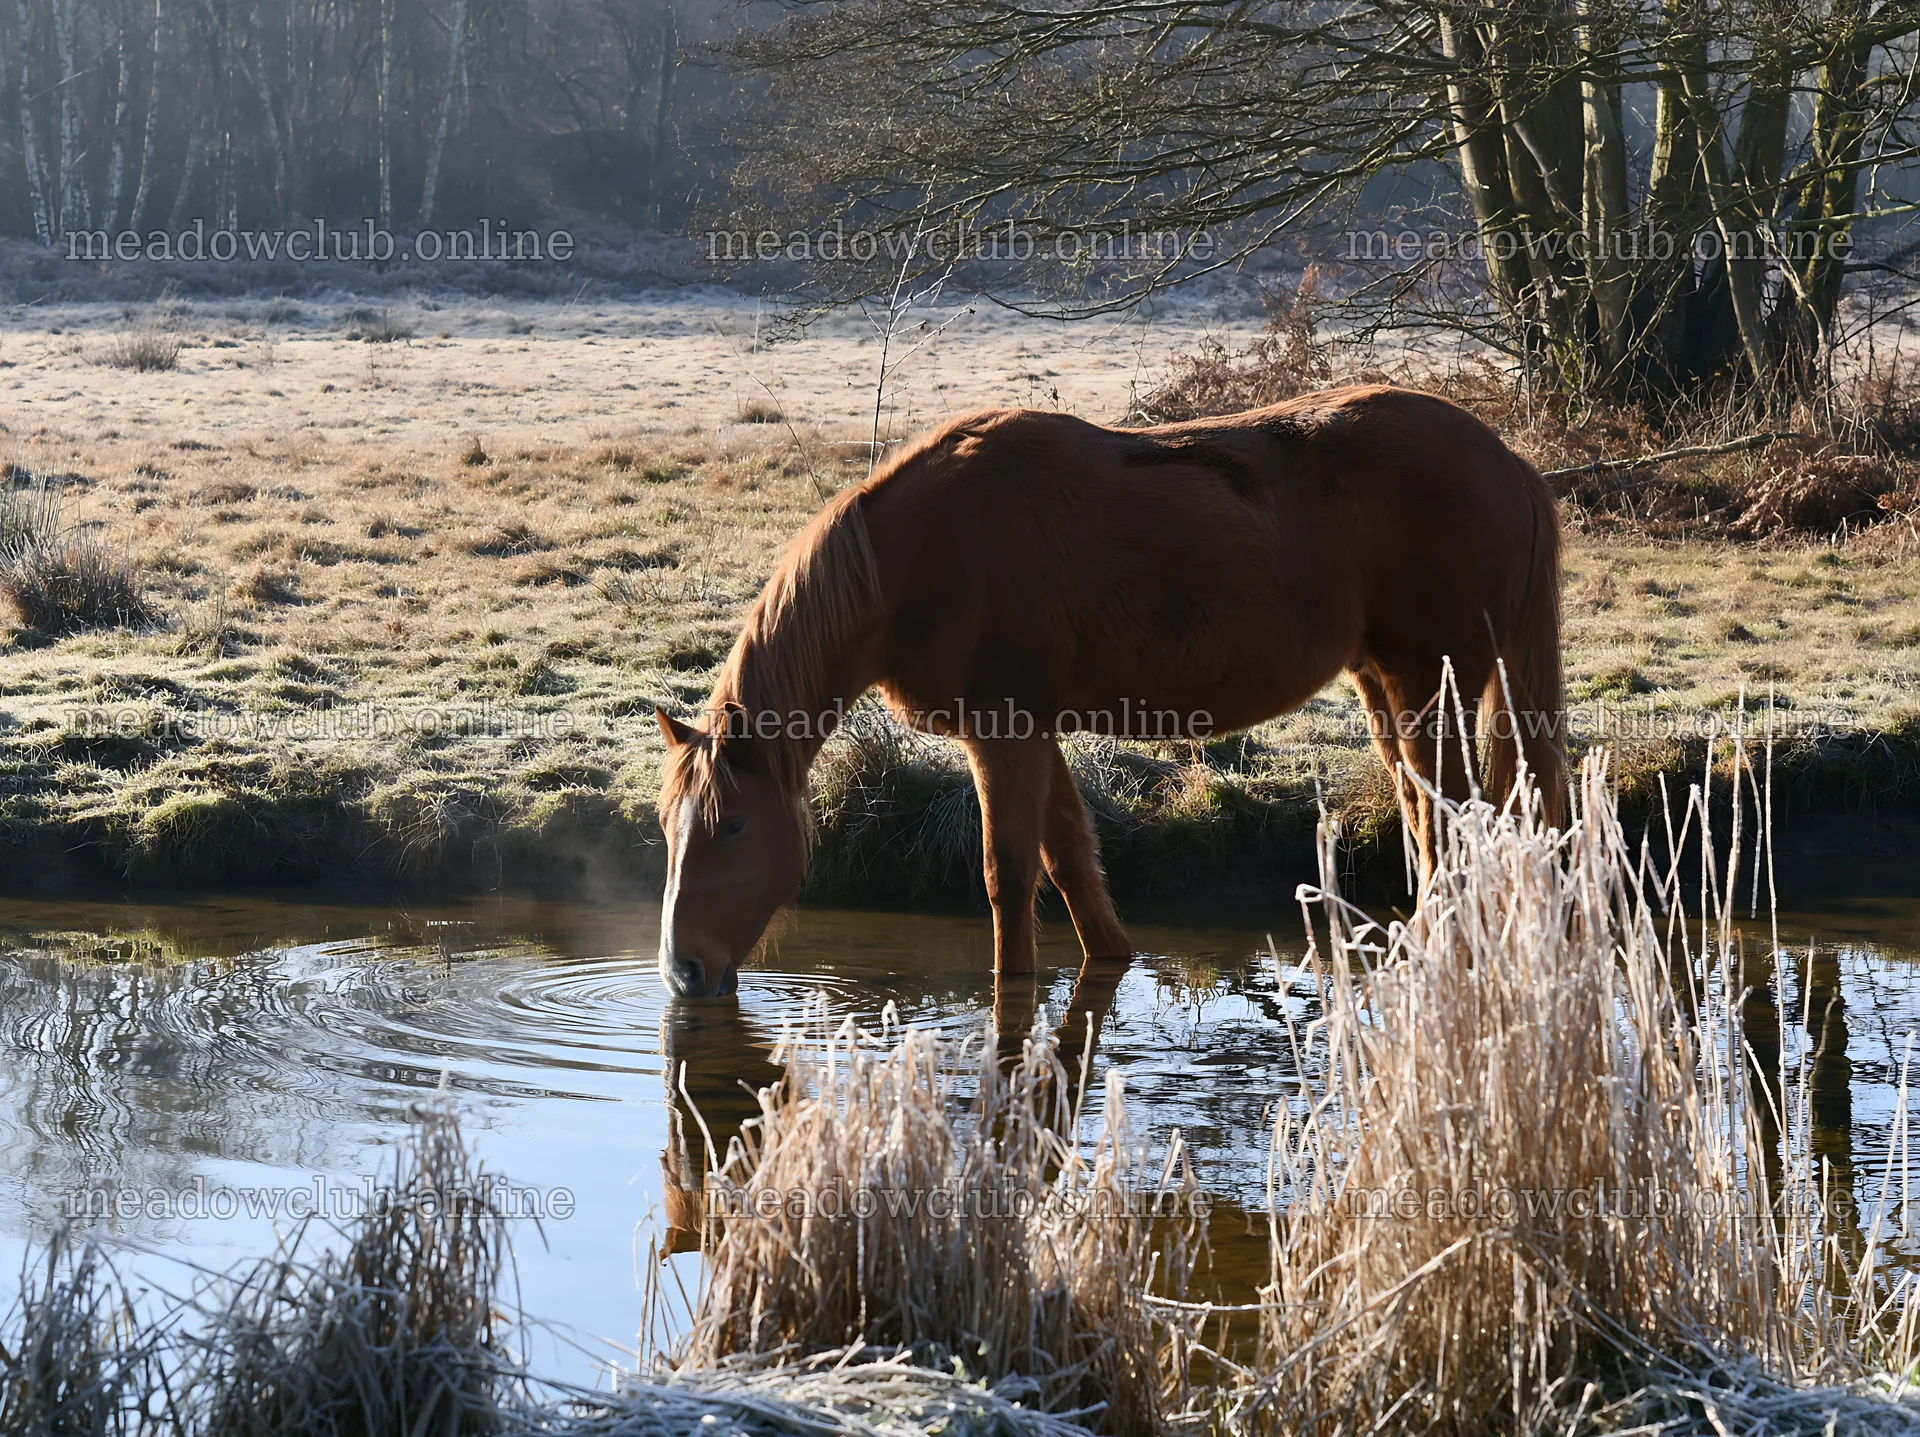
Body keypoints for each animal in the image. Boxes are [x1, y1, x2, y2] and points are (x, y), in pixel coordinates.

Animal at [654, 384, 1565, 997]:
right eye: (671, 827)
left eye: (733, 824)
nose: (683, 968)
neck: (915, 556)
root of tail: (1509, 462)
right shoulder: (1034, 733)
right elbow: (1070, 863)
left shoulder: (1004, 731)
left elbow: (1008, 874)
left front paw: (1012, 992)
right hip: (1387, 688)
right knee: (1429, 821)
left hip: (1429, 690)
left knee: (1454, 827)